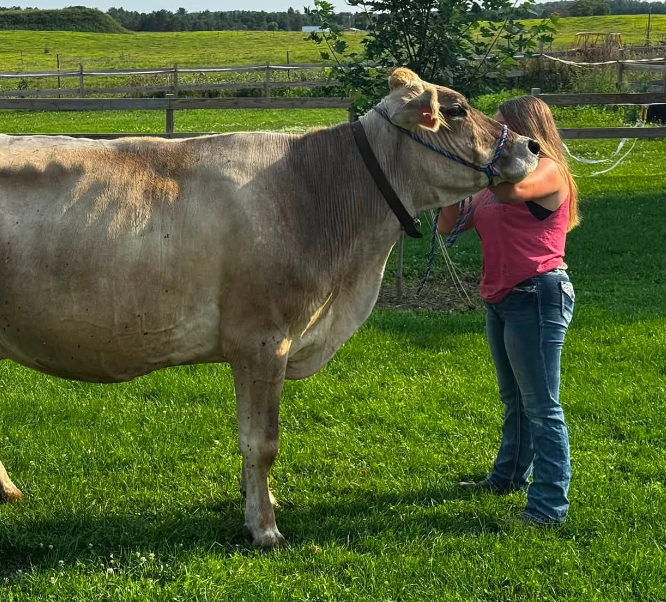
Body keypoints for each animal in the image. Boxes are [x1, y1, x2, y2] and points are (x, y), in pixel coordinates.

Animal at [0, 68, 539, 548]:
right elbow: (262, 442)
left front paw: (257, 502)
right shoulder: (262, 339)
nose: (531, 147)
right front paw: (264, 529)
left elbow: (249, 438)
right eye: (457, 108)